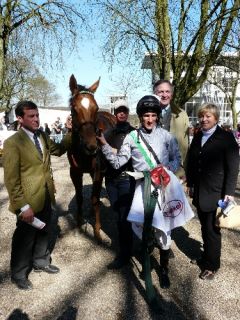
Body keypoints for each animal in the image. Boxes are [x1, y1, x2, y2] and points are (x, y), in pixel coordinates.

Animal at [68, 74, 116, 240]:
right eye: (74, 109)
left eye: (96, 108)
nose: (92, 146)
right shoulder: (75, 172)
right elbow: (80, 197)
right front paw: (78, 222)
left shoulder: (97, 171)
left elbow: (95, 198)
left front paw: (97, 230)